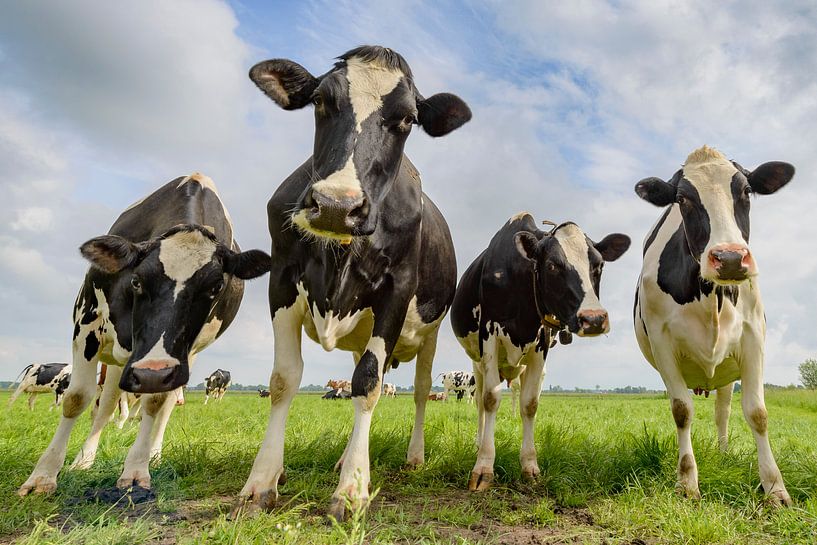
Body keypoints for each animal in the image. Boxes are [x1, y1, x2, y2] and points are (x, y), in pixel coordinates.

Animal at [18, 172, 270, 496]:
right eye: (136, 281)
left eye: (216, 287)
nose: (151, 373)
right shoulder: (85, 324)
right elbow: (77, 398)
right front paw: (44, 475)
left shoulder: (177, 359)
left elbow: (155, 403)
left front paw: (137, 468)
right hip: (116, 361)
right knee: (106, 405)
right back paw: (85, 459)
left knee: (164, 406)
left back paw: (154, 453)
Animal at [233, 43, 468, 520]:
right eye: (321, 101)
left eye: (407, 119)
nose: (336, 206)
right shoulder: (281, 278)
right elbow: (284, 379)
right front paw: (263, 479)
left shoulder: (397, 290)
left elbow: (369, 384)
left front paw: (352, 490)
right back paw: (344, 459)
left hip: (430, 335)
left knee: (419, 391)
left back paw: (413, 457)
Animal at [450, 211, 628, 488]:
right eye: (552, 265)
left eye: (599, 266)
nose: (594, 318)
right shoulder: (489, 337)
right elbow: (490, 400)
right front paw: (483, 465)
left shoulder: (540, 345)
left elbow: (530, 404)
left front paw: (530, 465)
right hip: (476, 364)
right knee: (479, 401)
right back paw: (479, 443)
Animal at [636, 146, 792, 506]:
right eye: (682, 199)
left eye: (746, 190)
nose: (731, 258)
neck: (711, 296)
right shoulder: (663, 344)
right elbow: (681, 410)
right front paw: (687, 482)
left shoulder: (753, 338)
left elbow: (758, 413)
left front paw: (775, 488)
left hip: (726, 374)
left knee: (723, 412)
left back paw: (722, 453)